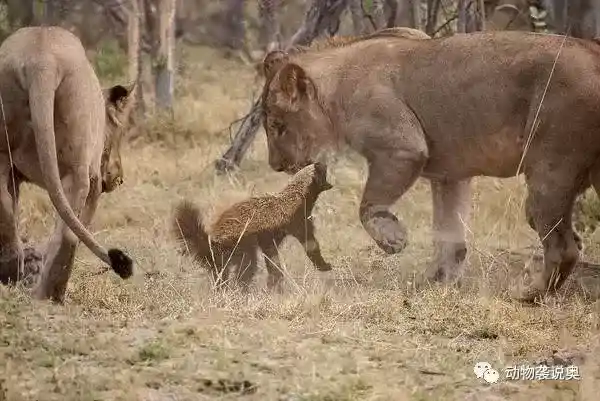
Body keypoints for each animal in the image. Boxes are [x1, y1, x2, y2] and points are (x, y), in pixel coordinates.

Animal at [0, 26, 136, 302]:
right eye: (120, 132)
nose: (119, 177)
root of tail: (41, 60)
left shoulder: (13, 174)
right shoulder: (95, 181)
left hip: (0, 148)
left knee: (5, 209)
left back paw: (12, 274)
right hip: (78, 168)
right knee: (67, 234)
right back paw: (49, 295)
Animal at [172, 162, 332, 290]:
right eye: (322, 170)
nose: (323, 162)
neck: (297, 195)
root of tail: (212, 240)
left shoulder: (272, 237)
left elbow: (272, 259)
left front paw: (274, 283)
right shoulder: (297, 222)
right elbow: (310, 245)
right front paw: (325, 266)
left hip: (227, 255)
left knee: (222, 273)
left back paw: (222, 290)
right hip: (240, 245)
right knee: (247, 266)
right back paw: (240, 289)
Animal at [260, 26, 600, 302]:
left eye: (277, 126)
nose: (275, 166)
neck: (335, 88)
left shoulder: (403, 148)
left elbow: (367, 205)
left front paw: (393, 239)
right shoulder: (450, 175)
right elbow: (450, 237)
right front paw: (433, 283)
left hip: (549, 170)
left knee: (564, 246)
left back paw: (528, 294)